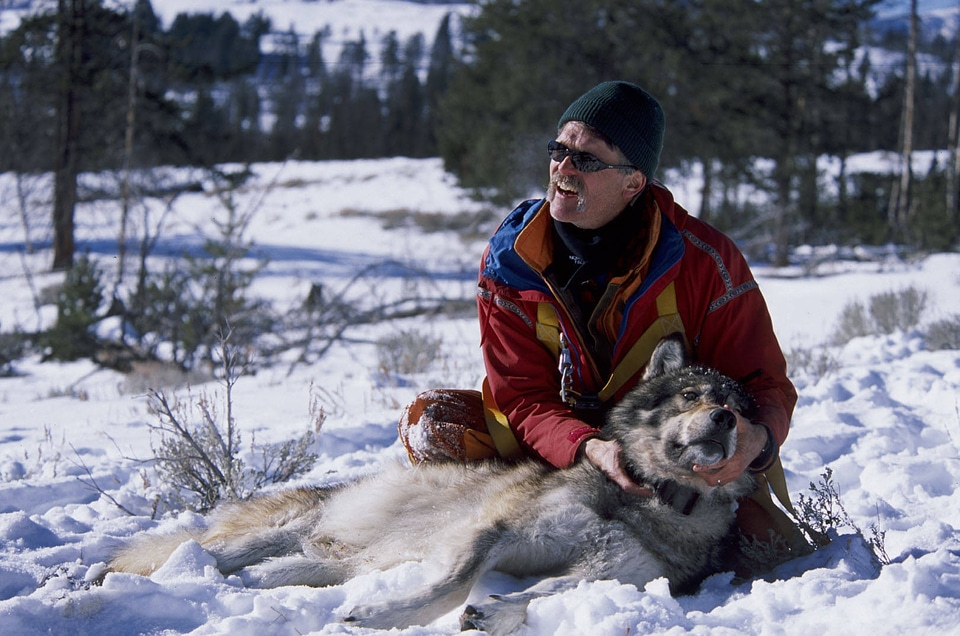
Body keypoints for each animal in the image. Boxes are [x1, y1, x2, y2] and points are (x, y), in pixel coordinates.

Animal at [109, 336, 752, 632]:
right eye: (692, 396)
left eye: (740, 411)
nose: (723, 420)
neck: (643, 498)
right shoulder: (495, 532)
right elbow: (449, 587)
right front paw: (379, 616)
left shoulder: (614, 573)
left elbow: (548, 591)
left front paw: (494, 613)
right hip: (286, 530)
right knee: (208, 554)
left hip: (339, 558)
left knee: (284, 569)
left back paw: (261, 581)